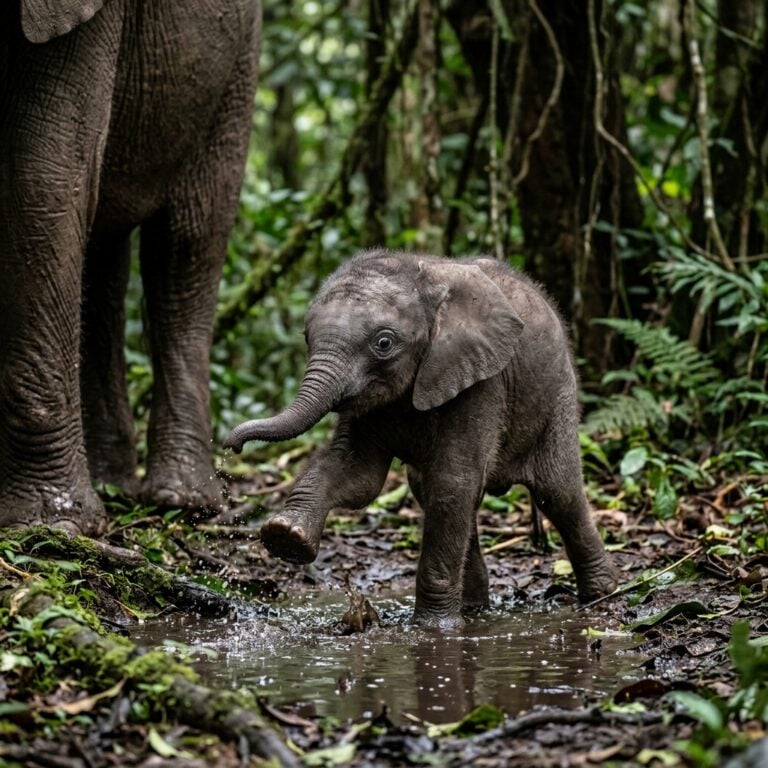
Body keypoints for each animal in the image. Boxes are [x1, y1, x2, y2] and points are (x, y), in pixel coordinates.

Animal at [0, 0, 261, 535]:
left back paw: (183, 501)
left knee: (187, 243)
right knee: (104, 257)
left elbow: (42, 174)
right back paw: (113, 486)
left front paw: (50, 525)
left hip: (239, 64)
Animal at [225, 249, 618, 627]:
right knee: (437, 493)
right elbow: (358, 475)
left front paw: (434, 629)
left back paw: (602, 595)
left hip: (558, 396)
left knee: (558, 493)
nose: (232, 445)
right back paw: (475, 607)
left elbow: (452, 483)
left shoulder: (482, 381)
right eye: (307, 338)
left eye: (384, 343)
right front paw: (285, 536)